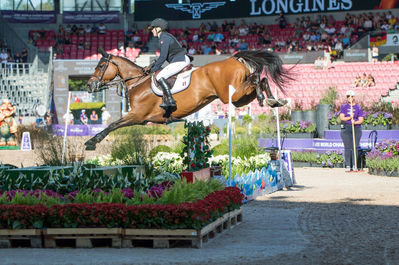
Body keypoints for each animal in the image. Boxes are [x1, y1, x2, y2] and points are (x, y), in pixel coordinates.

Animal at [85, 48, 290, 150]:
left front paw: (92, 142)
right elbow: (114, 125)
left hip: (231, 95)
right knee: (261, 80)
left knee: (256, 79)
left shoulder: (137, 116)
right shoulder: (140, 118)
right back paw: (274, 100)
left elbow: (112, 125)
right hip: (238, 98)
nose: (89, 86)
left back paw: (266, 98)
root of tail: (235, 59)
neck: (138, 82)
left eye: (101, 65)